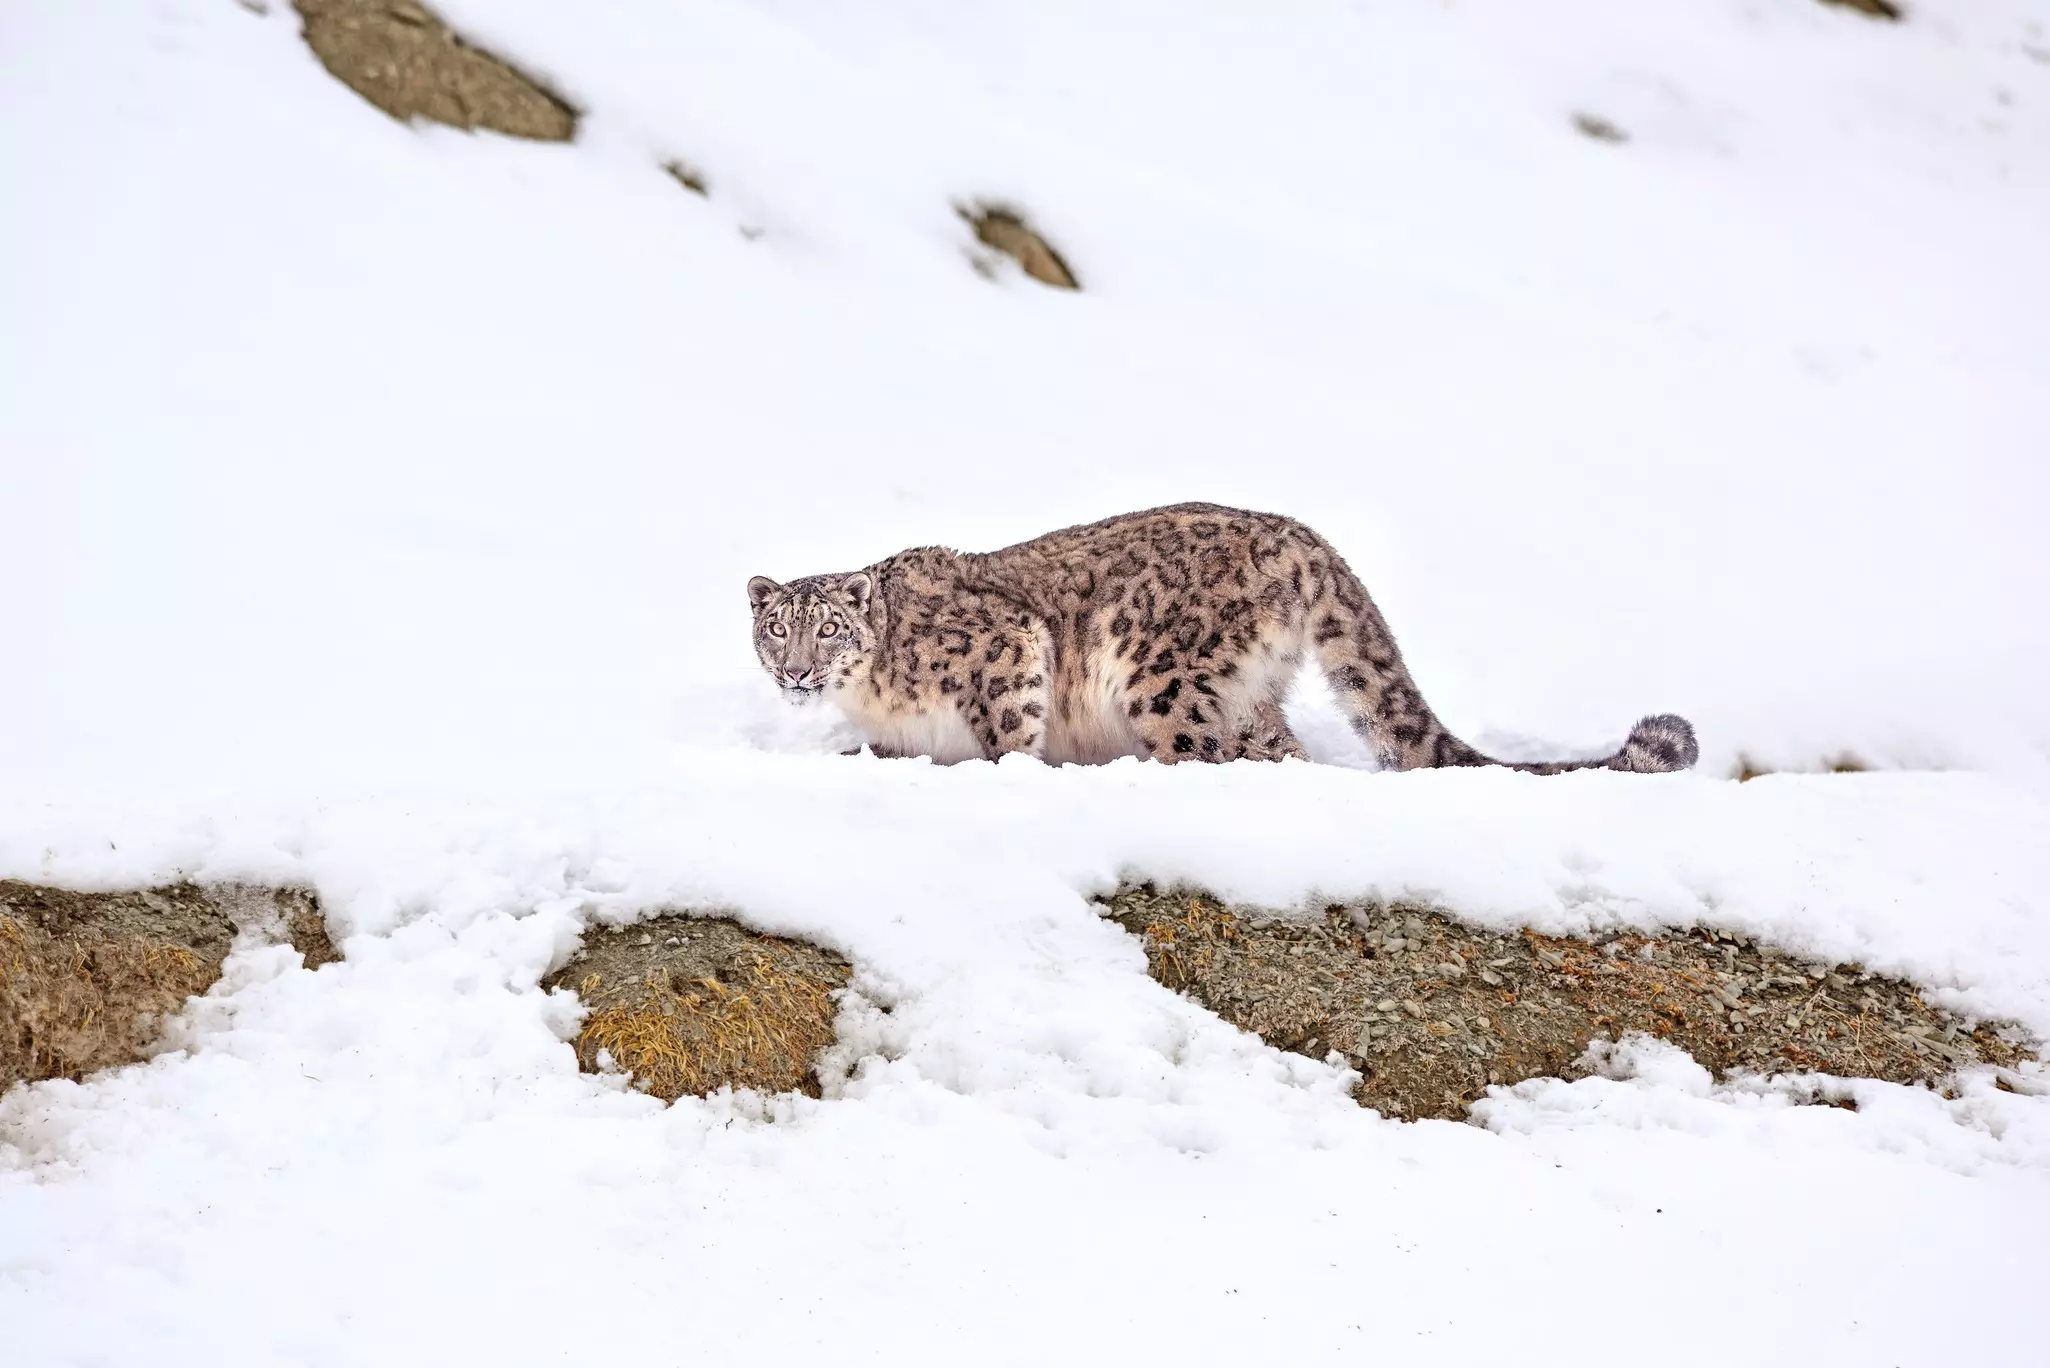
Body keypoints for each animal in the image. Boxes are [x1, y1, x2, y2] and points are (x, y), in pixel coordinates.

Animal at [745, 502, 1698, 773]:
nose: (794, 674)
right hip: (1247, 695)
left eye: (828, 628)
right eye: (775, 631)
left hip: (1161, 677)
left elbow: (1008, 734)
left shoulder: (1006, 652)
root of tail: (1301, 537)